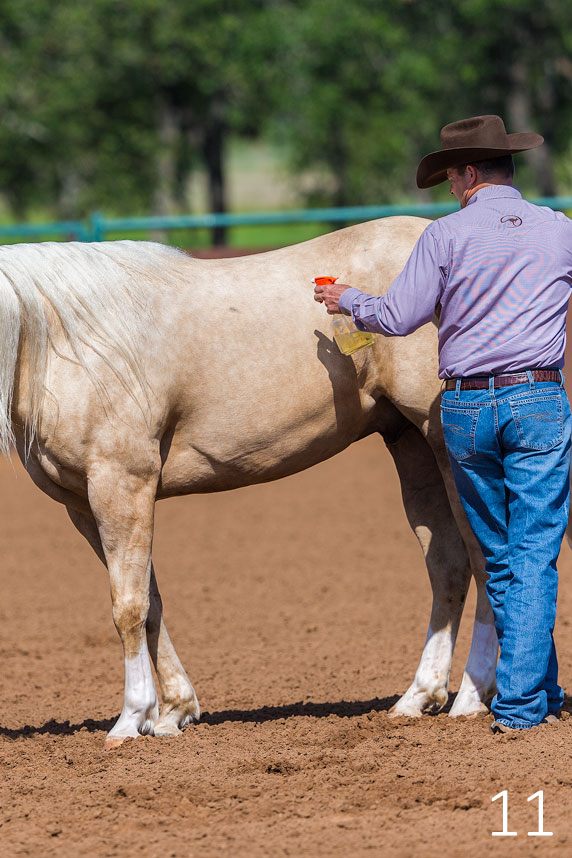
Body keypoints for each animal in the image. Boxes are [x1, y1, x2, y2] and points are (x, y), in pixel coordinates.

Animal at [1, 218, 497, 748]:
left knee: (485, 556)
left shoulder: (121, 485)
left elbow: (128, 606)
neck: (66, 342)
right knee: (447, 563)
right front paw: (173, 710)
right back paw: (419, 696)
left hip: (451, 448)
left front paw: (131, 718)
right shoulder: (84, 505)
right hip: (411, 446)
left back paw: (472, 696)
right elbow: (151, 601)